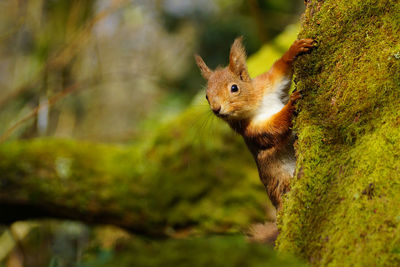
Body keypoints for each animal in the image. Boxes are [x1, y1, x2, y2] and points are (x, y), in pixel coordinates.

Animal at [195, 36, 314, 211]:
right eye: (206, 96)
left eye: (234, 88)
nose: (216, 109)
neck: (256, 104)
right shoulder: (252, 130)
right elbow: (274, 128)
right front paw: (291, 104)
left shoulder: (268, 85)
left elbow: (279, 71)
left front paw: (295, 48)